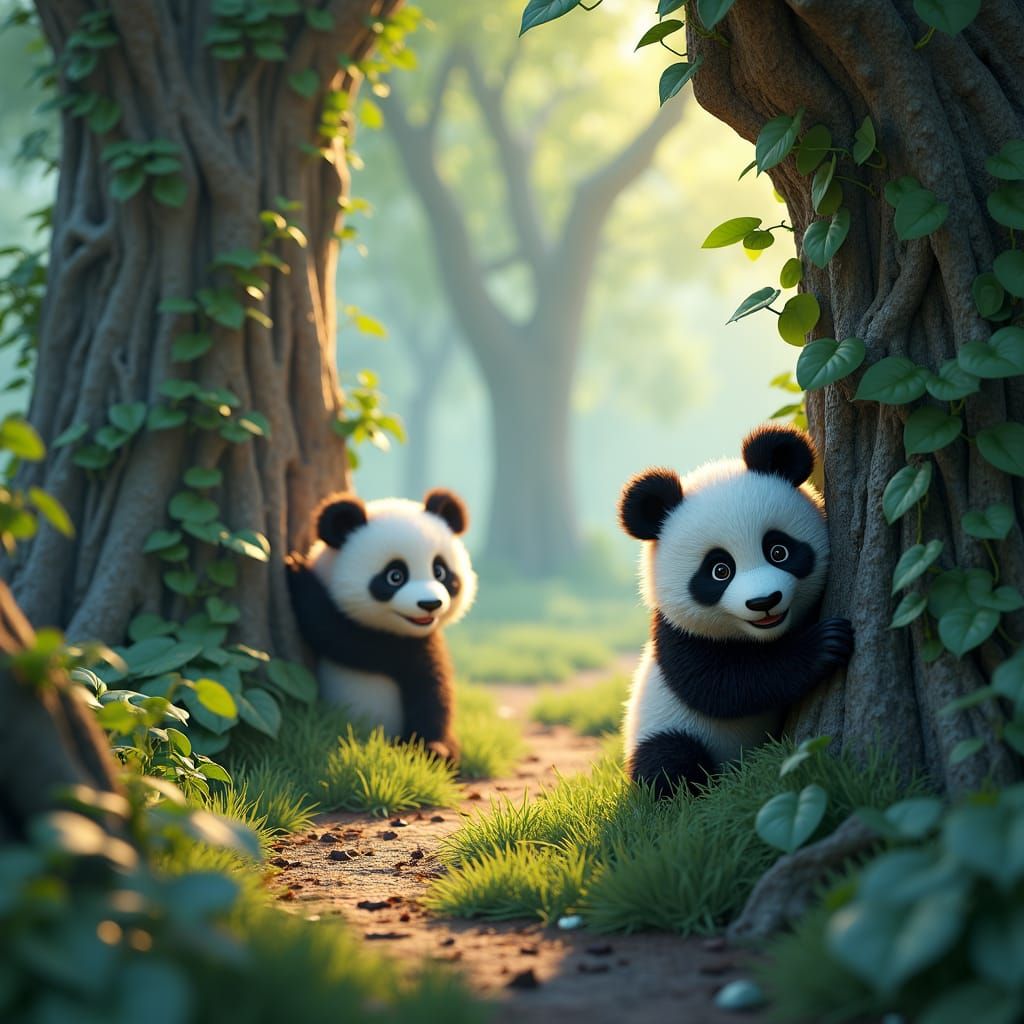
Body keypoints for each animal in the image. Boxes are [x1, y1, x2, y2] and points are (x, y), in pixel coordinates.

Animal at [284, 488, 477, 762]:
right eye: (395, 576)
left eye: (440, 571)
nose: (430, 603)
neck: (402, 631)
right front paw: (295, 566)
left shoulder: (412, 645)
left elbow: (341, 636)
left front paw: (295, 570)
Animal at [618, 423, 853, 797]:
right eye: (719, 570)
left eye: (778, 551)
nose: (764, 602)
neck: (765, 637)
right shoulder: (675, 635)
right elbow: (721, 685)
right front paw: (823, 644)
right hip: (663, 729)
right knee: (669, 757)